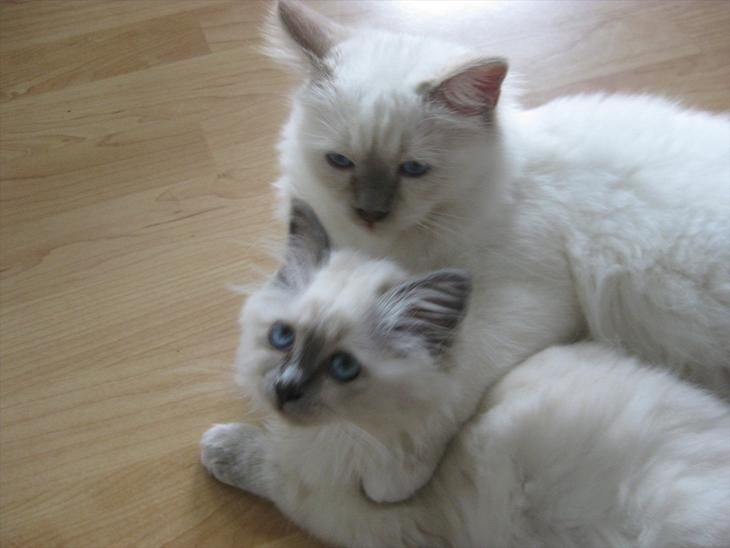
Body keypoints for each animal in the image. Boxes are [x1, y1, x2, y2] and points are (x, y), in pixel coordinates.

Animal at [201, 201, 730, 548]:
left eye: (344, 367)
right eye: (282, 338)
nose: (285, 389)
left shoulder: (367, 516)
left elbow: (275, 474)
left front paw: (219, 447)